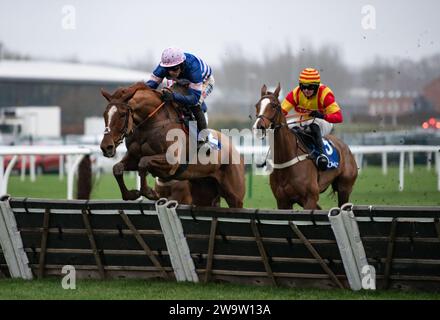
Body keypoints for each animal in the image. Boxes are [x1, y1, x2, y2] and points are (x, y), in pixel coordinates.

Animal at [99, 82, 244, 208]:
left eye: (122, 114)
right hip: (204, 193)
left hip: (235, 196)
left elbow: (143, 162)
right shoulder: (133, 157)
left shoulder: (172, 163)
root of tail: (235, 149)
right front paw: (131, 194)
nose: (106, 147)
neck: (152, 122)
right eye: (105, 114)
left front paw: (149, 192)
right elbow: (117, 168)